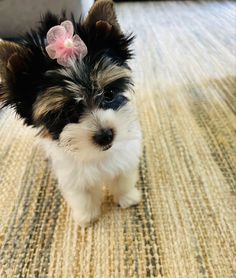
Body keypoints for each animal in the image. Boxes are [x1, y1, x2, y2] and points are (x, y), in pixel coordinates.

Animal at [0, 0, 142, 226]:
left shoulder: (124, 155)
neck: (96, 155)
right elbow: (82, 194)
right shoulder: (72, 175)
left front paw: (127, 197)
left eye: (109, 94)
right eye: (65, 113)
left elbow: (123, 177)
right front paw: (87, 217)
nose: (105, 136)